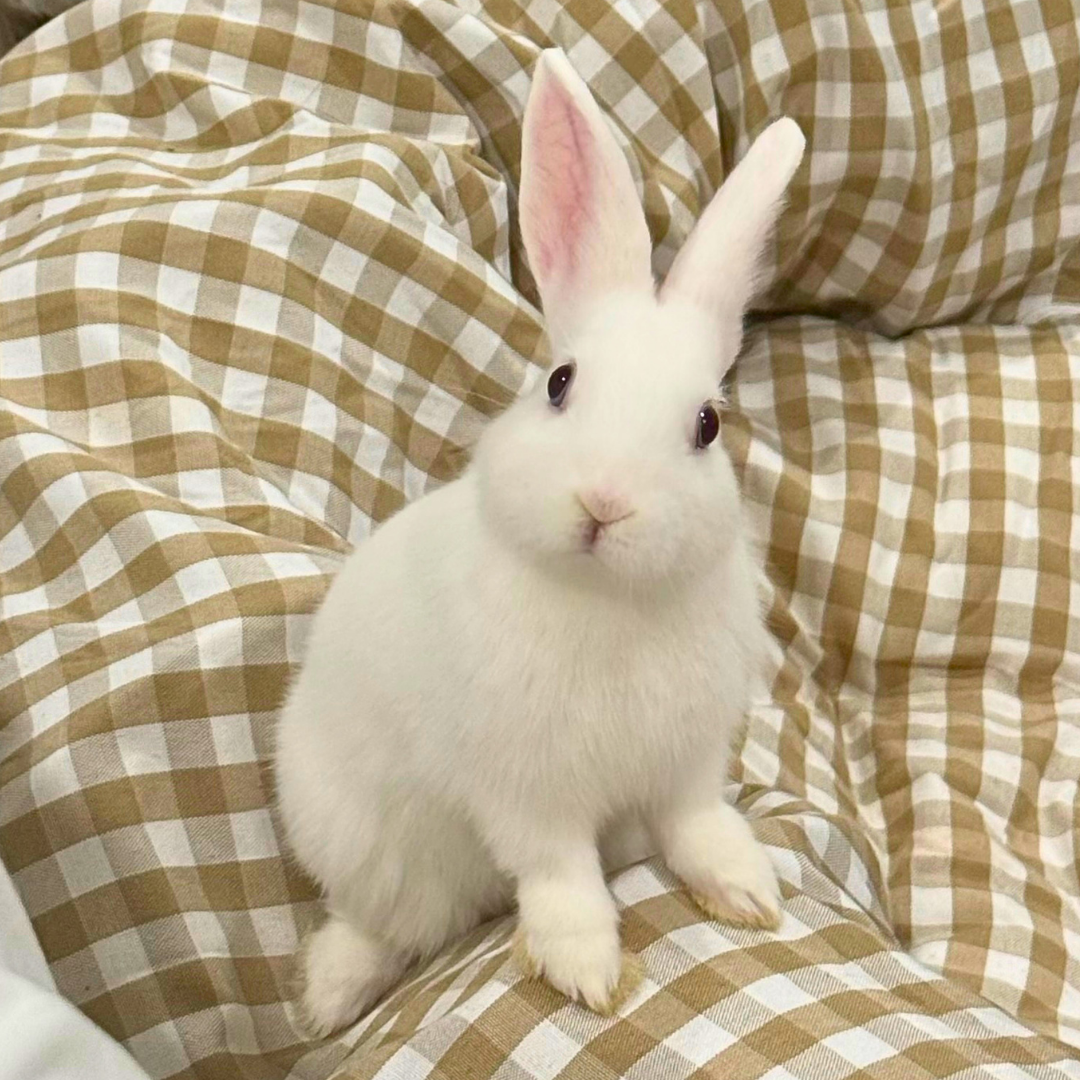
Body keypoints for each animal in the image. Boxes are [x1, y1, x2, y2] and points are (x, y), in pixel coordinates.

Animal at [275, 47, 805, 1037]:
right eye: (559, 382)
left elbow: (697, 826)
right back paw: (326, 999)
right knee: (383, 925)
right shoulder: (527, 792)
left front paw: (749, 893)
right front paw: (588, 977)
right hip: (372, 846)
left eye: (708, 424)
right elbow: (562, 880)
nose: (605, 502)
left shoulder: (686, 762)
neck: (606, 599)